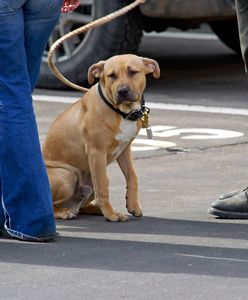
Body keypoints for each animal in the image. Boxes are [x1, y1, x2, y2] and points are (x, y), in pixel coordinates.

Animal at [42, 54, 160, 220]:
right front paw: (111, 214)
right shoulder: (96, 152)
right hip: (66, 176)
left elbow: (132, 176)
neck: (121, 112)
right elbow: (103, 186)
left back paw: (96, 209)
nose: (122, 91)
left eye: (132, 72)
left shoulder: (124, 150)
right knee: (52, 205)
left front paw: (133, 205)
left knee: (82, 206)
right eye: (111, 75)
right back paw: (66, 212)